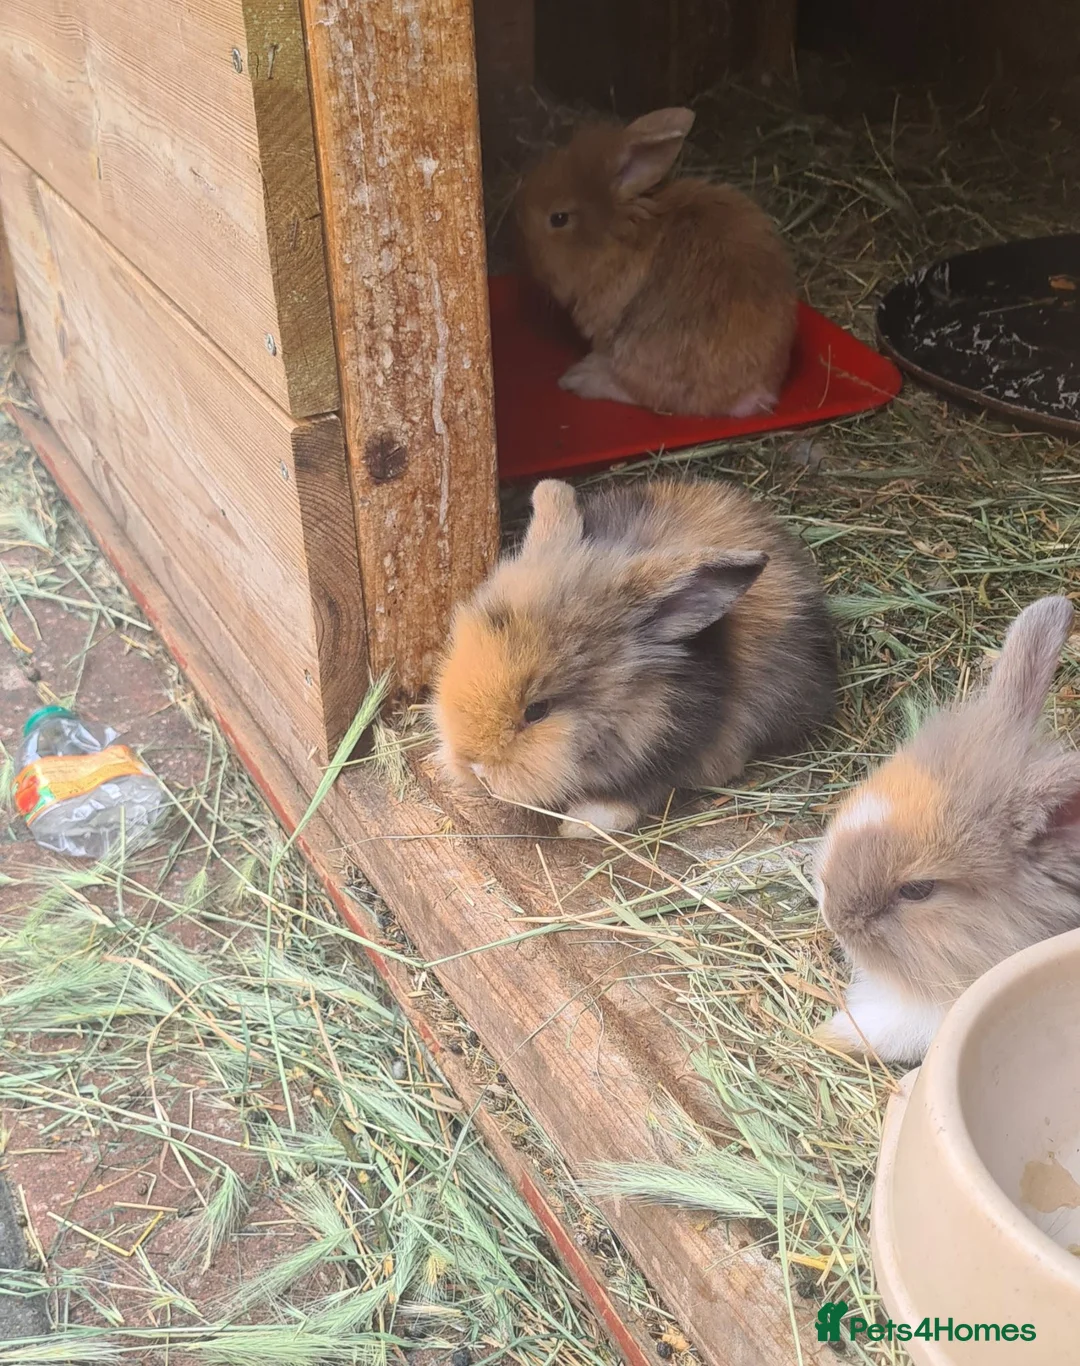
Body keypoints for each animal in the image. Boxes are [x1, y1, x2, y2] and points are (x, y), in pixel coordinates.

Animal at [433, 478, 836, 839]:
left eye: (537, 710)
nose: (474, 765)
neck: (628, 706)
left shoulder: (667, 753)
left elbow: (637, 792)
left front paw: (582, 824)